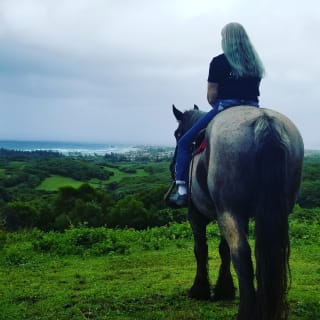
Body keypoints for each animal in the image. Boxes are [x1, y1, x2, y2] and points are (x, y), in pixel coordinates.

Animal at [169, 104, 304, 318]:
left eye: (177, 134)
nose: (171, 167)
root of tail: (264, 121)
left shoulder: (197, 215)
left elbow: (201, 249)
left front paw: (200, 289)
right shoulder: (228, 215)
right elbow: (223, 249)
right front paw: (224, 289)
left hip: (229, 210)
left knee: (241, 254)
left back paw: (247, 311)